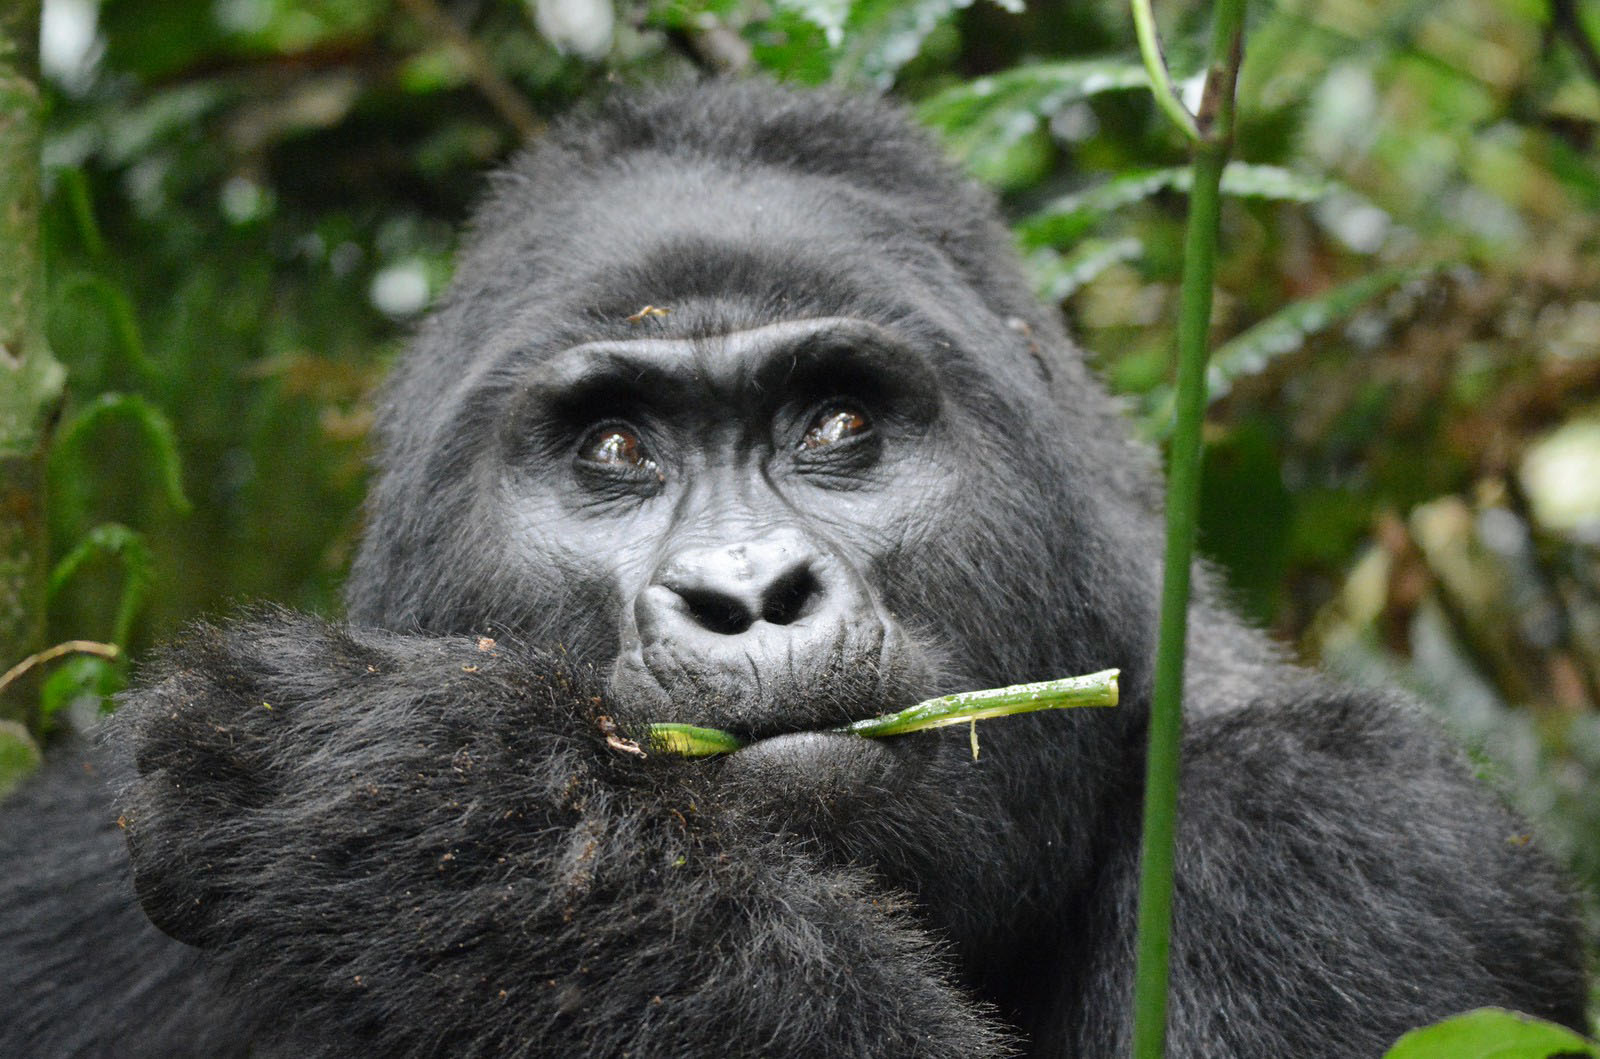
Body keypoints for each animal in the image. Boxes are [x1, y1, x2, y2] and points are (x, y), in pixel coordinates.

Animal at [0, 78, 1587, 1055]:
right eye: (619, 447)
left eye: (838, 423)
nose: (747, 592)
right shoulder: (71, 865)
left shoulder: (1349, 829)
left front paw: (433, 801)